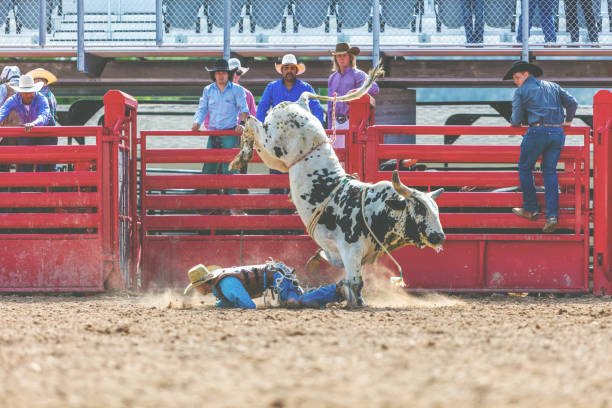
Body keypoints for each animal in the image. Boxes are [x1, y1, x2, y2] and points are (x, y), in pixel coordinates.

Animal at [230, 63, 444, 306]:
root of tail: (297, 103)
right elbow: (356, 281)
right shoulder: (351, 249)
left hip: (274, 157)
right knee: (251, 123)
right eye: (419, 209)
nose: (440, 236)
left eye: (436, 210)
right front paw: (357, 304)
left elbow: (348, 279)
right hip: (270, 141)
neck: (373, 208)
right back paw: (240, 157)